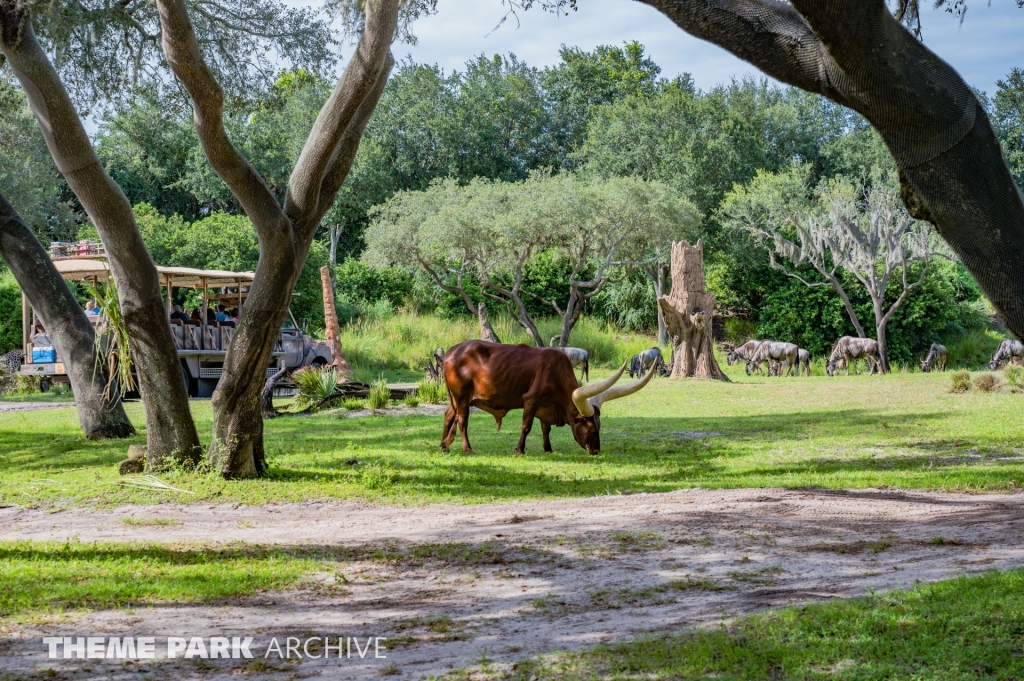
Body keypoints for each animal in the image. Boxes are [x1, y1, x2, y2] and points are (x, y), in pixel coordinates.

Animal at [438, 339, 647, 456]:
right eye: (589, 427)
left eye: (599, 425)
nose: (596, 451)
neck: (555, 371)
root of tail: (452, 351)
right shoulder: (531, 400)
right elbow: (526, 426)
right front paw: (520, 449)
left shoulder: (546, 407)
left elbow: (546, 429)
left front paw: (548, 449)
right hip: (462, 396)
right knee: (462, 420)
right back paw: (467, 448)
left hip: (458, 399)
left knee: (449, 416)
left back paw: (443, 446)